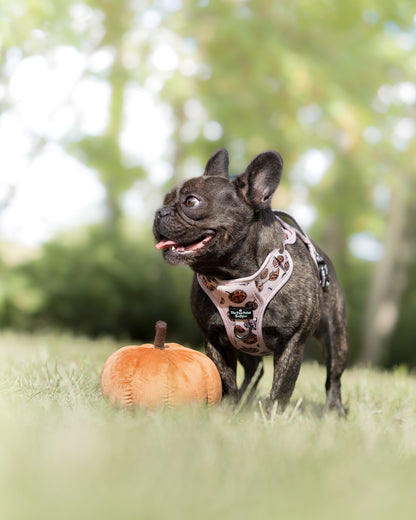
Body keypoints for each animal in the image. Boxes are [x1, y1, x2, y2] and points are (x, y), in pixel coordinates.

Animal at [153, 149, 348, 414]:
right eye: (166, 200)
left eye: (191, 202)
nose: (159, 212)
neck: (234, 276)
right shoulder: (215, 340)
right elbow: (225, 380)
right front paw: (226, 412)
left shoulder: (292, 344)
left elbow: (281, 389)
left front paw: (273, 417)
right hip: (245, 346)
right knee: (253, 372)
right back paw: (244, 403)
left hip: (336, 337)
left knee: (334, 376)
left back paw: (335, 410)